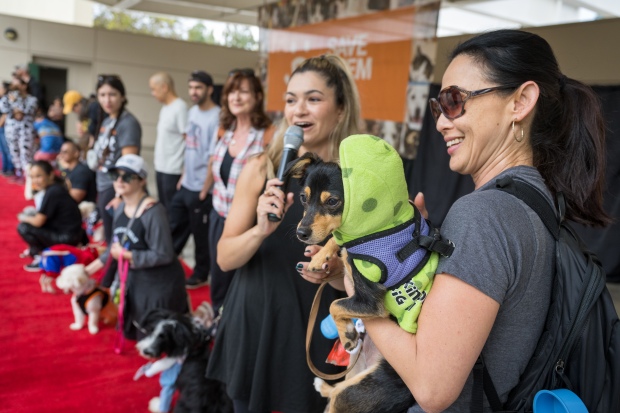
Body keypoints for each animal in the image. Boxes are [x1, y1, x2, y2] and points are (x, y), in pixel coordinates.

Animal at [288, 135, 452, 412]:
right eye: (303, 198)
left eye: (332, 201)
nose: (301, 233)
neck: (369, 229)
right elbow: (337, 240)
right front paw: (321, 257)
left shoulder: (370, 302)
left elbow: (335, 304)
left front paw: (346, 334)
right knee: (334, 391)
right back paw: (324, 384)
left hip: (357, 390)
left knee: (336, 397)